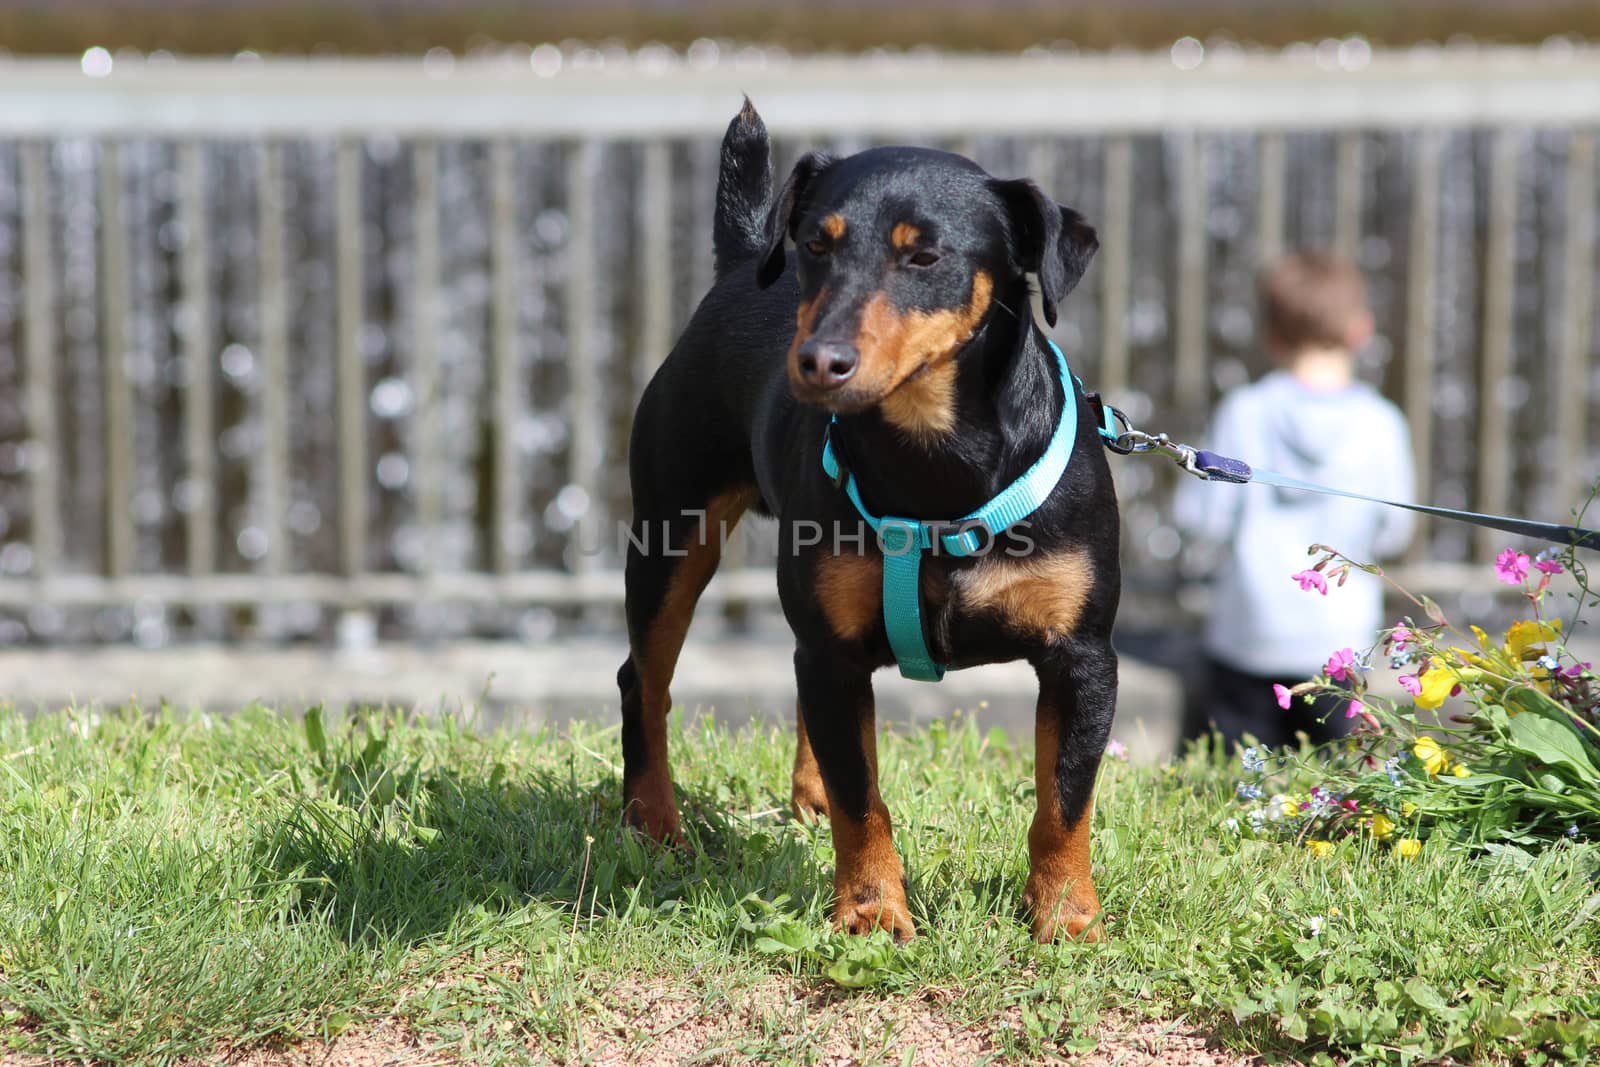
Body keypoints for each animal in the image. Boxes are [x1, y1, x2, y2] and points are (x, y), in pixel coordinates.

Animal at [617, 102, 1120, 940]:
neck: (936, 459)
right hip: (670, 532)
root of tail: (740, 261)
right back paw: (653, 819)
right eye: (817, 245)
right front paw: (872, 910)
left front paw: (1067, 916)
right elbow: (863, 799)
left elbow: (1064, 797)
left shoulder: (1083, 656)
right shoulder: (830, 647)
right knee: (644, 678)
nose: (820, 360)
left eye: (925, 256)